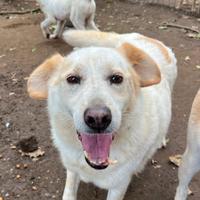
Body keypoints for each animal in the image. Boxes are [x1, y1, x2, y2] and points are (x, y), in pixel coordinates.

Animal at [27, 30, 177, 200]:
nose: (98, 119)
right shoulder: (72, 168)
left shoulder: (119, 186)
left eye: (117, 78)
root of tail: (141, 37)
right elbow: (69, 191)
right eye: (72, 79)